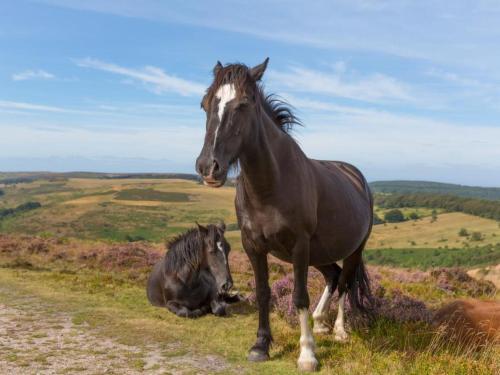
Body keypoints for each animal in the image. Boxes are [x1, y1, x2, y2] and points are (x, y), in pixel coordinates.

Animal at [195, 59, 372, 374]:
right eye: (205, 104)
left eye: (244, 104)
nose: (208, 167)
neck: (270, 185)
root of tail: (357, 177)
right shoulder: (253, 246)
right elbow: (264, 292)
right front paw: (260, 346)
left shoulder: (299, 246)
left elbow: (299, 296)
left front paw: (307, 354)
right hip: (321, 253)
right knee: (333, 276)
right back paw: (321, 322)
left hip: (353, 250)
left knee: (345, 283)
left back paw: (339, 330)